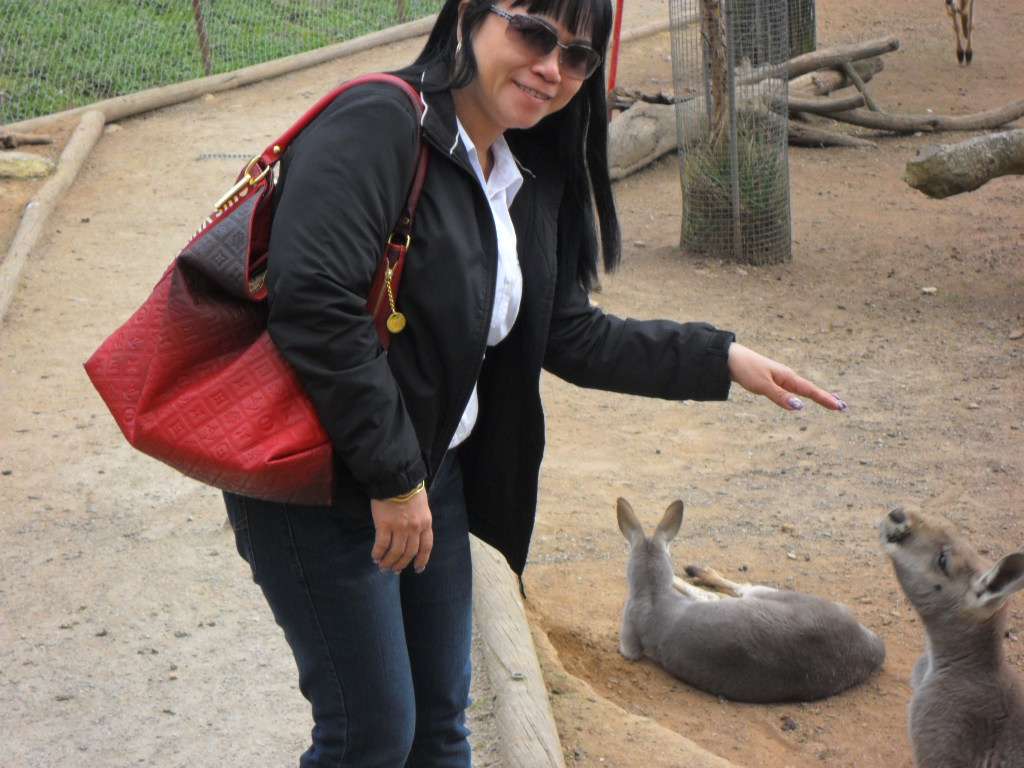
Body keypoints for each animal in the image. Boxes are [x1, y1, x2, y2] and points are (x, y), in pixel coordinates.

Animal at [616, 498, 885, 703]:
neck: (653, 593)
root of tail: (874, 647)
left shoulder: (630, 634)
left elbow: (627, 651)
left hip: (770, 595)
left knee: (734, 590)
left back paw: (697, 572)